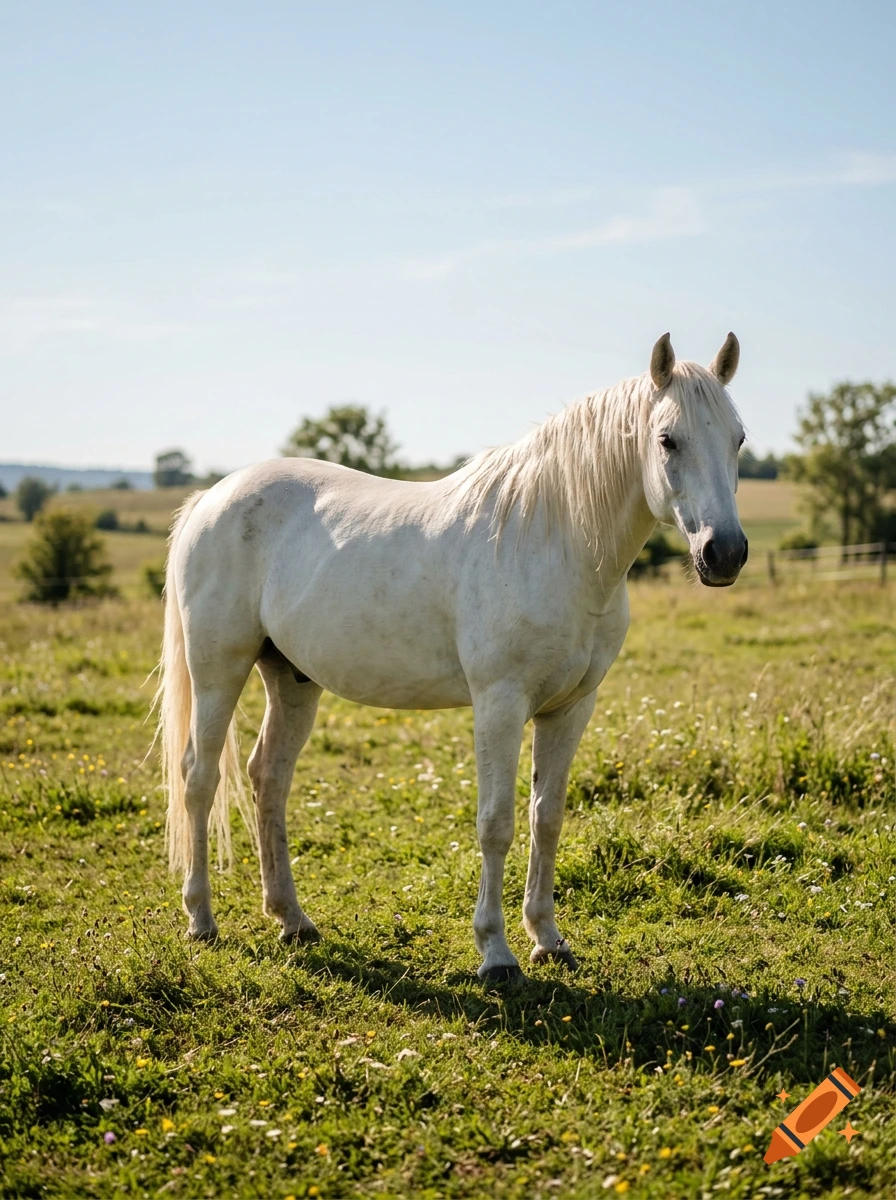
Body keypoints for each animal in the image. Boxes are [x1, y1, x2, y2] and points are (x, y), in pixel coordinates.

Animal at [155, 332, 747, 981]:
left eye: (738, 438)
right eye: (667, 439)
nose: (725, 553)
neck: (553, 541)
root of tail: (211, 497)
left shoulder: (571, 709)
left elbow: (547, 816)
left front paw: (547, 938)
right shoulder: (499, 704)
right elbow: (496, 824)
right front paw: (495, 953)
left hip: (291, 678)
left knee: (269, 777)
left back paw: (292, 919)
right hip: (218, 670)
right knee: (199, 777)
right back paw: (201, 920)